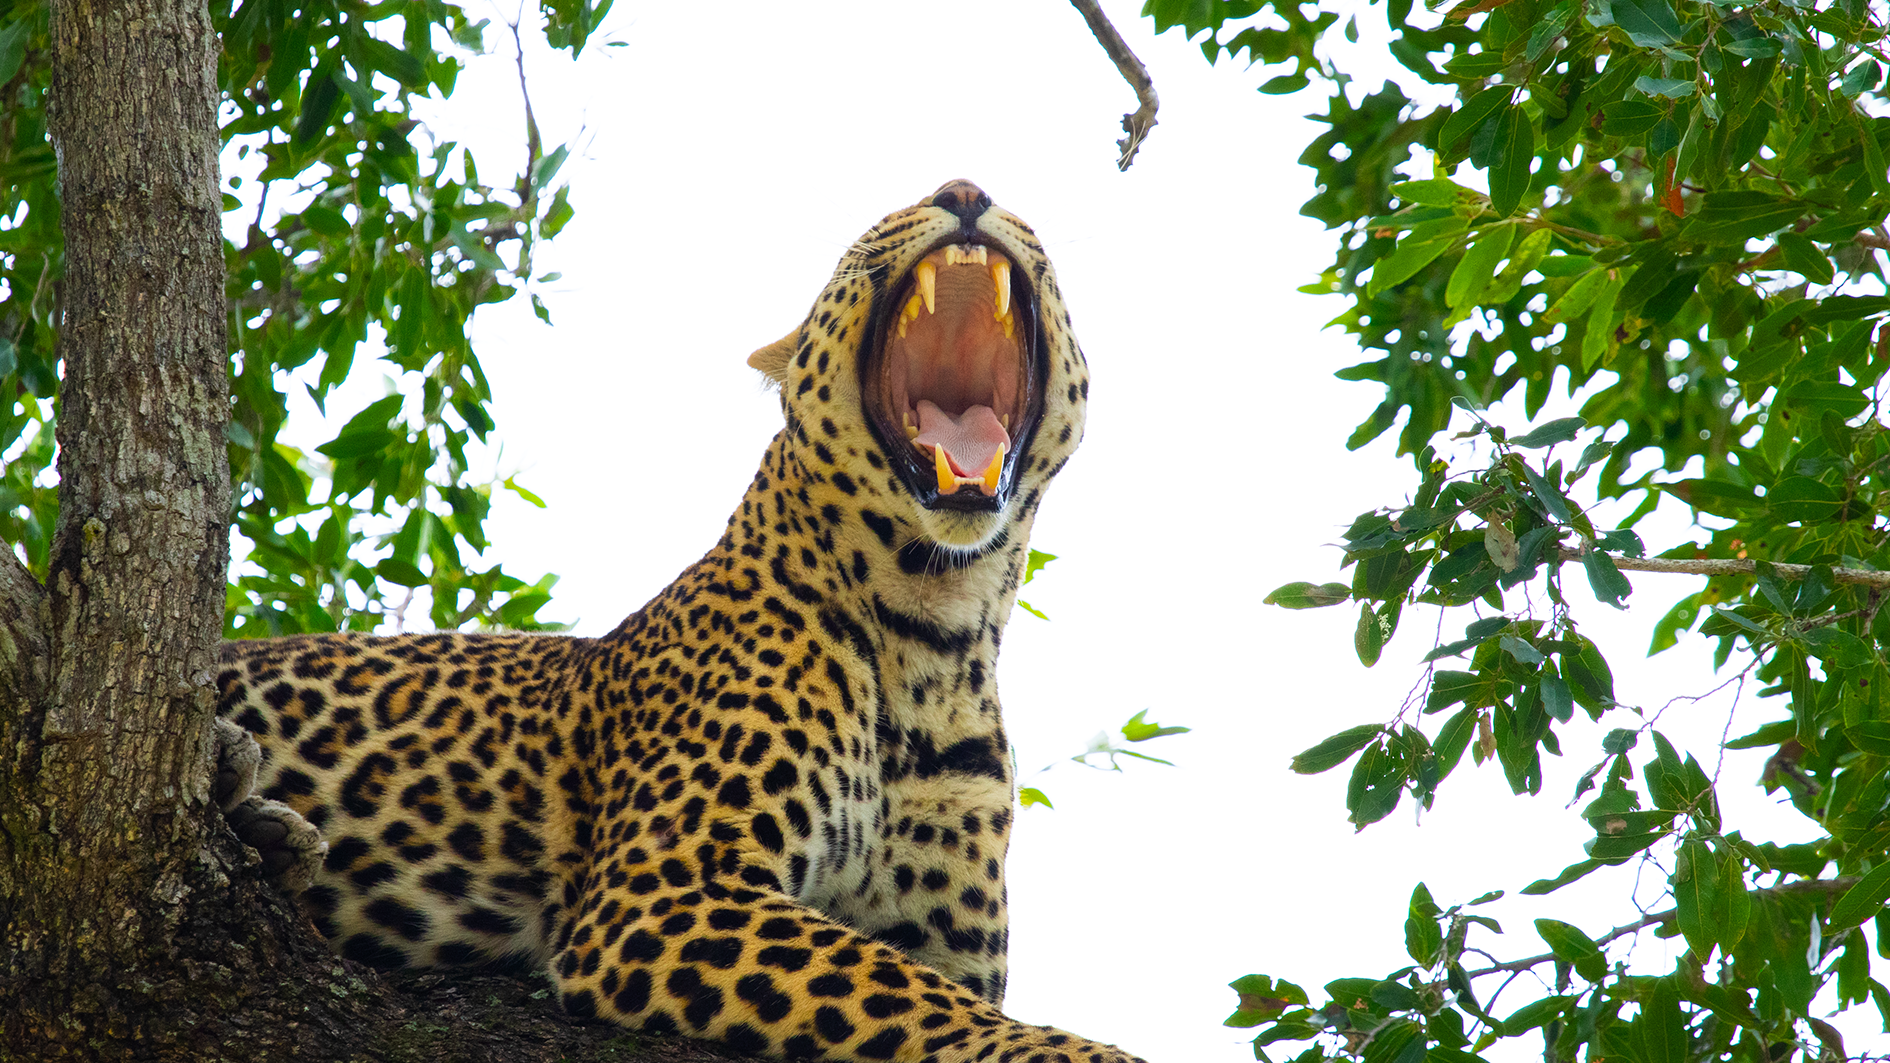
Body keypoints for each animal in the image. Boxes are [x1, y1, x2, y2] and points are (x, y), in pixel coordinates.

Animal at [212, 181, 1141, 1059]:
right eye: (873, 231)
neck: (936, 629)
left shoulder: (940, 936)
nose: (964, 190)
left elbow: (929, 986)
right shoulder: (667, 885)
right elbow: (908, 993)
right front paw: (1090, 1052)